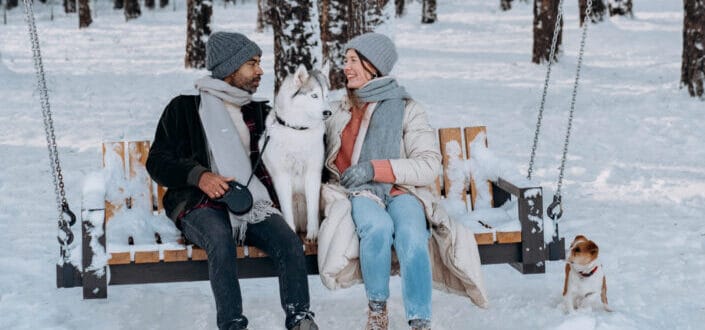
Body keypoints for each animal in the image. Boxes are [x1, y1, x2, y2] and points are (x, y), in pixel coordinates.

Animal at [260, 64, 332, 240]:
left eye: (326, 96)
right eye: (314, 95)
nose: (328, 112)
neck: (298, 131)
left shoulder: (313, 174)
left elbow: (313, 207)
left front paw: (313, 233)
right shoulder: (282, 176)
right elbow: (286, 211)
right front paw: (291, 232)